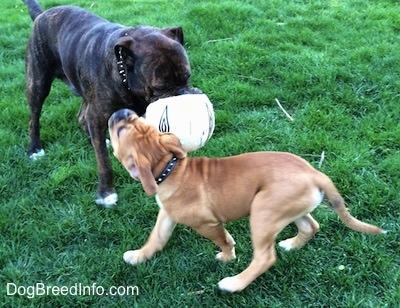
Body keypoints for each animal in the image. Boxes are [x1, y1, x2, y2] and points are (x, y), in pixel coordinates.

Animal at [21, 0, 200, 207]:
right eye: (160, 88)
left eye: (187, 77)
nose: (183, 96)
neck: (124, 73)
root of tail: (42, 14)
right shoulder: (98, 115)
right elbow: (103, 163)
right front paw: (106, 192)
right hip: (38, 83)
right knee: (34, 118)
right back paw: (35, 148)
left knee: (82, 117)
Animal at [108, 109, 384, 294]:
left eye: (121, 132)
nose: (123, 111)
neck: (171, 168)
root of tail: (315, 173)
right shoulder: (166, 214)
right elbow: (156, 237)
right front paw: (139, 256)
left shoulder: (207, 224)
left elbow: (224, 239)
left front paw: (227, 257)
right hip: (289, 208)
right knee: (310, 226)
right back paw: (291, 245)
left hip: (262, 212)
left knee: (265, 257)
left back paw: (234, 283)